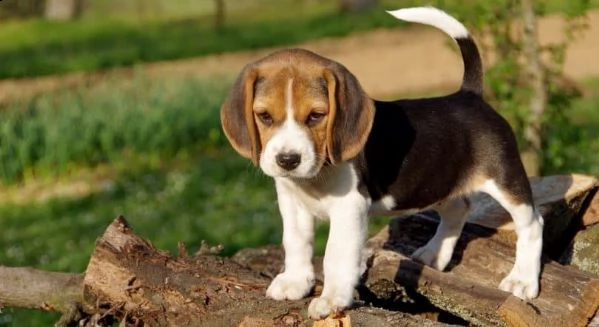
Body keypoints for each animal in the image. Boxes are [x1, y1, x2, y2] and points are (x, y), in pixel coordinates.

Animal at [219, 7, 544, 320]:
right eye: (264, 116)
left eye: (315, 116)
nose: (288, 160)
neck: (314, 178)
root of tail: (469, 96)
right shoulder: (292, 203)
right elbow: (296, 242)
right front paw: (295, 282)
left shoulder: (349, 207)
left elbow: (335, 255)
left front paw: (332, 300)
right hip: (436, 181)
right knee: (458, 208)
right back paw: (434, 254)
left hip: (504, 178)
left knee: (531, 223)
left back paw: (522, 281)